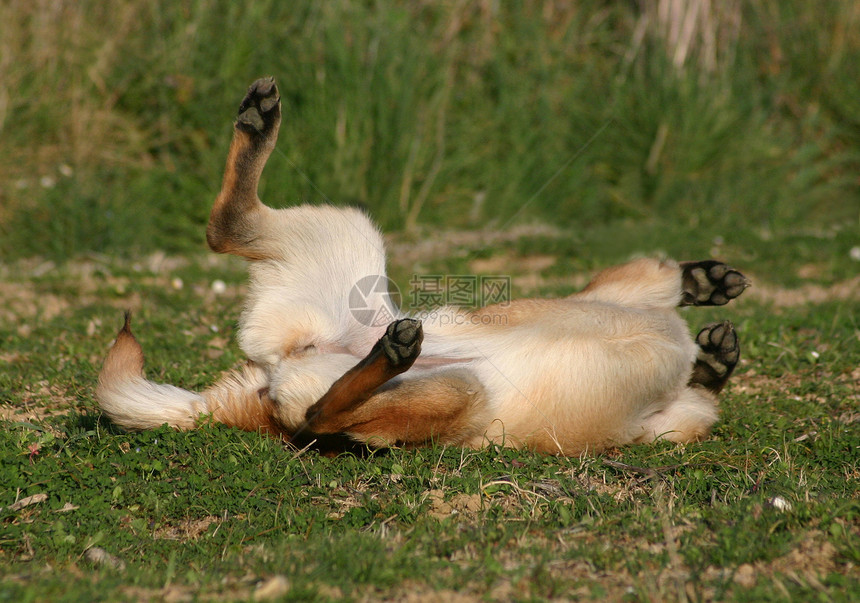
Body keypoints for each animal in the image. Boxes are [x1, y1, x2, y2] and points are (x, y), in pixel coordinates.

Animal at [97, 78, 748, 456]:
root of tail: (264, 378)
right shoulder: (628, 306)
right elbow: (650, 278)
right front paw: (705, 304)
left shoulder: (674, 408)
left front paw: (708, 313)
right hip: (451, 388)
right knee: (317, 417)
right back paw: (389, 355)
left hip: (354, 252)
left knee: (230, 229)